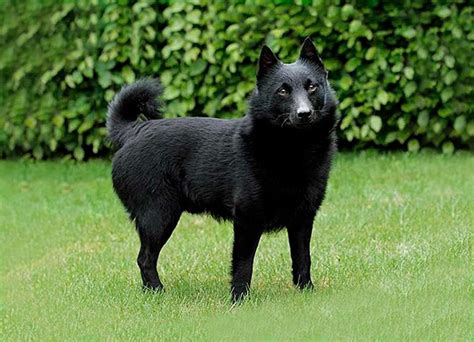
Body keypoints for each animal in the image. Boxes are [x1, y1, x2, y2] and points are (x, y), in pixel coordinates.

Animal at [106, 38, 336, 302]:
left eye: (312, 87)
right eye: (283, 90)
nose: (304, 113)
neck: (292, 151)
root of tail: (132, 131)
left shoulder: (303, 218)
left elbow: (302, 259)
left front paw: (306, 291)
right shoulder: (247, 219)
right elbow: (243, 264)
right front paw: (239, 299)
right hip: (158, 216)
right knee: (144, 258)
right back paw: (157, 292)